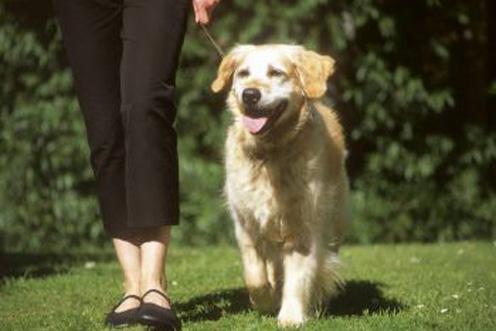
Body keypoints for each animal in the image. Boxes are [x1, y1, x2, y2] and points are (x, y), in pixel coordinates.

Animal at [211, 44, 346, 330]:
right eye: (243, 73)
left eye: (276, 72)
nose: (250, 95)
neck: (270, 153)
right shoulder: (246, 224)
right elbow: (254, 274)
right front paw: (264, 300)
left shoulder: (303, 227)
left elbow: (299, 275)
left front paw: (291, 316)